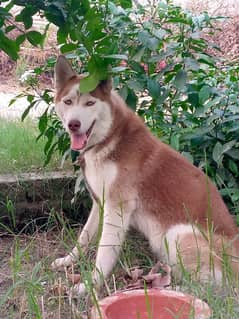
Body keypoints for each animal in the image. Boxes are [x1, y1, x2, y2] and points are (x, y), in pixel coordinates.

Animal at [51, 56, 238, 296]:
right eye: (68, 102)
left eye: (90, 103)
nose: (73, 124)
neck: (110, 138)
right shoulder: (100, 203)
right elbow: (84, 237)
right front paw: (68, 261)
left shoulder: (117, 208)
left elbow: (104, 252)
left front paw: (90, 285)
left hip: (177, 233)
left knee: (211, 288)